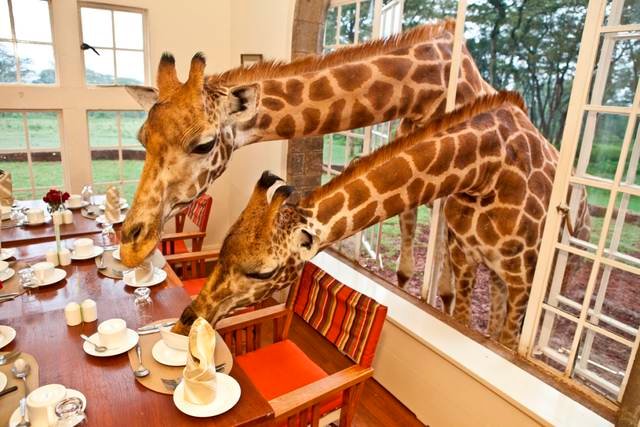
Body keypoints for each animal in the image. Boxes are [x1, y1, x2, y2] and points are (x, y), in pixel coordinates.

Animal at [172, 91, 578, 349]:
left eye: (263, 271)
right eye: (222, 250)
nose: (183, 322)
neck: (484, 167)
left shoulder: (522, 280)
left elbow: (506, 339)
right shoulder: (467, 263)